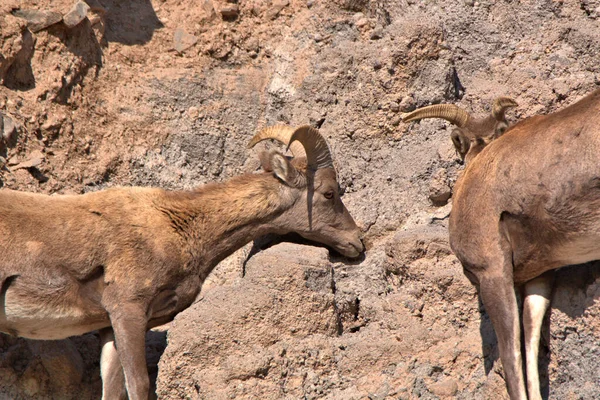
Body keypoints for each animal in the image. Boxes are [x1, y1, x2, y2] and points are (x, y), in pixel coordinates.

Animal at [0, 125, 364, 400]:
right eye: (329, 193)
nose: (357, 243)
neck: (181, 228)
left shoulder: (109, 325)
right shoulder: (128, 311)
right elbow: (139, 385)